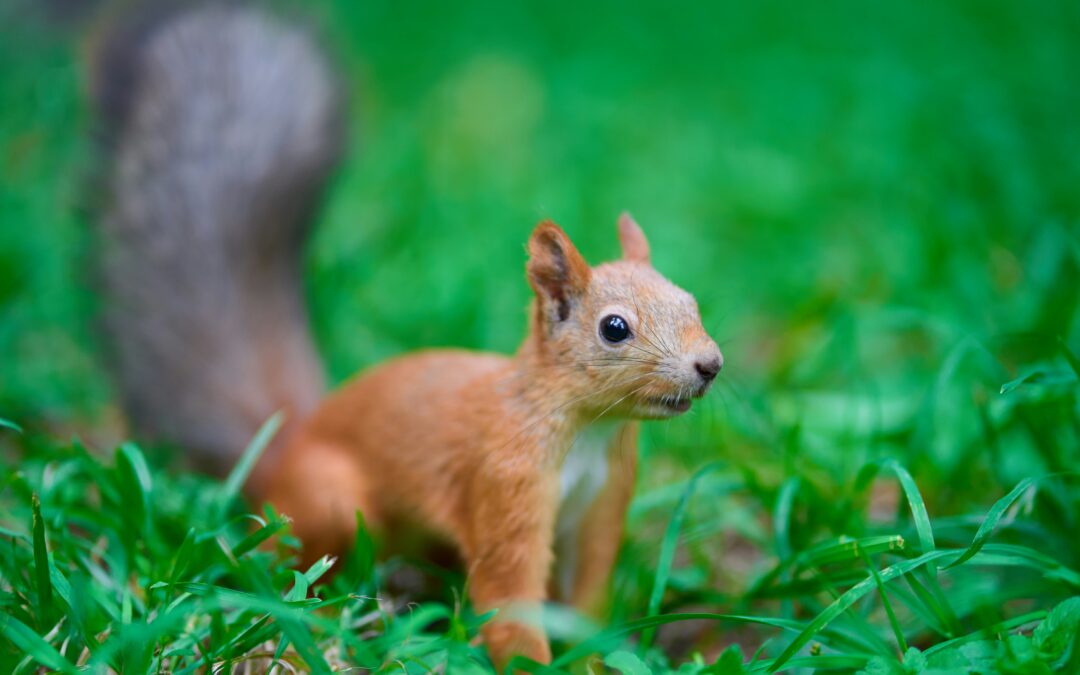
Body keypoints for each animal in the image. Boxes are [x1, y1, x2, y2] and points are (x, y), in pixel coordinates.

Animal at [91, 3, 723, 669]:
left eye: (691, 301)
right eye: (614, 328)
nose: (710, 364)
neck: (590, 432)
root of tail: (283, 448)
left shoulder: (603, 504)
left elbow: (585, 601)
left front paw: (595, 657)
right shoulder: (505, 483)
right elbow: (509, 595)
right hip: (331, 500)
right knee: (278, 561)